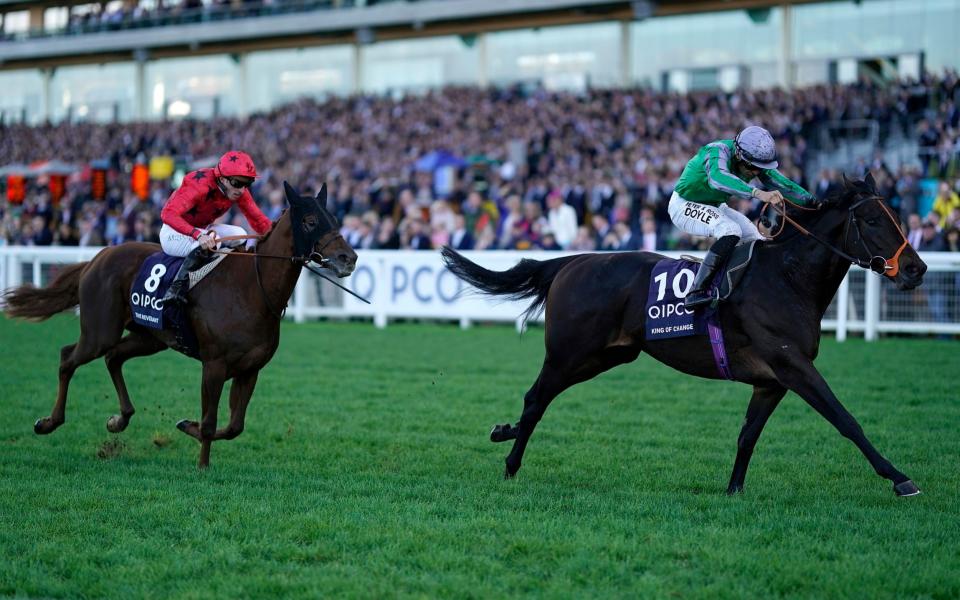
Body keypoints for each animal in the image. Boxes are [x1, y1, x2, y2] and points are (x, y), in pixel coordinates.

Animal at [3, 183, 356, 468]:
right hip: (99, 332)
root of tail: (97, 258)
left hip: (150, 337)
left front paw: (188, 426)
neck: (252, 289)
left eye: (334, 219)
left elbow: (235, 426)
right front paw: (202, 465)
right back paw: (48, 422)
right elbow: (212, 421)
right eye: (310, 221)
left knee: (113, 357)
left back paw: (119, 420)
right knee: (68, 358)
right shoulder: (214, 364)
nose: (348, 258)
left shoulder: (249, 369)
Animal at [444, 175, 928, 496]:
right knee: (536, 399)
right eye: (871, 220)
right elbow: (846, 420)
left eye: (897, 216)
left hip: (608, 355)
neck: (787, 278)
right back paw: (510, 462)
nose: (916, 269)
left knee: (539, 400)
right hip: (569, 352)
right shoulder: (793, 366)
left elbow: (748, 435)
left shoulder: (771, 381)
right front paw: (900, 478)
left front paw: (733, 490)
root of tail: (572, 261)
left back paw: (503, 432)